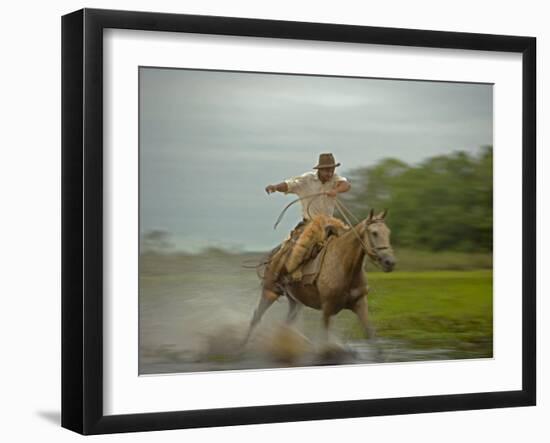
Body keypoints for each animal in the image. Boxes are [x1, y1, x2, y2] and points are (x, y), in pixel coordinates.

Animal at [246, 211, 396, 346]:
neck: (344, 266)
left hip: (295, 302)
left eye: (388, 232)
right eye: (374, 233)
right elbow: (324, 340)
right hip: (270, 292)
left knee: (285, 324)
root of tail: (275, 254)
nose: (390, 262)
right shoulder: (327, 309)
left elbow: (371, 336)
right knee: (256, 318)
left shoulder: (360, 303)